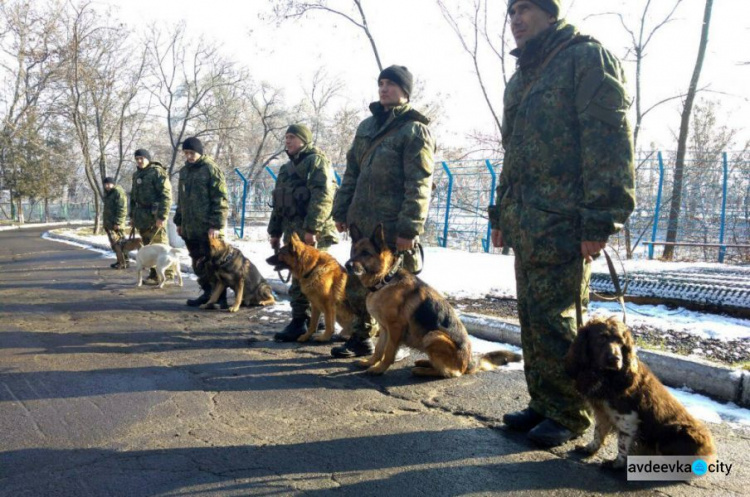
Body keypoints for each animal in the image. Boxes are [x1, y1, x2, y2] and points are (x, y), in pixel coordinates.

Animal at [348, 225, 520, 376]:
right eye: (353, 251)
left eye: (366, 253)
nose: (347, 265)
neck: (386, 280)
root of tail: (468, 363)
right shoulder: (385, 328)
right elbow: (379, 349)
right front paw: (370, 363)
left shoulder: (395, 328)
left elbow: (389, 352)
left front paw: (379, 369)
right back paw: (424, 362)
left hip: (433, 336)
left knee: (450, 373)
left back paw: (422, 371)